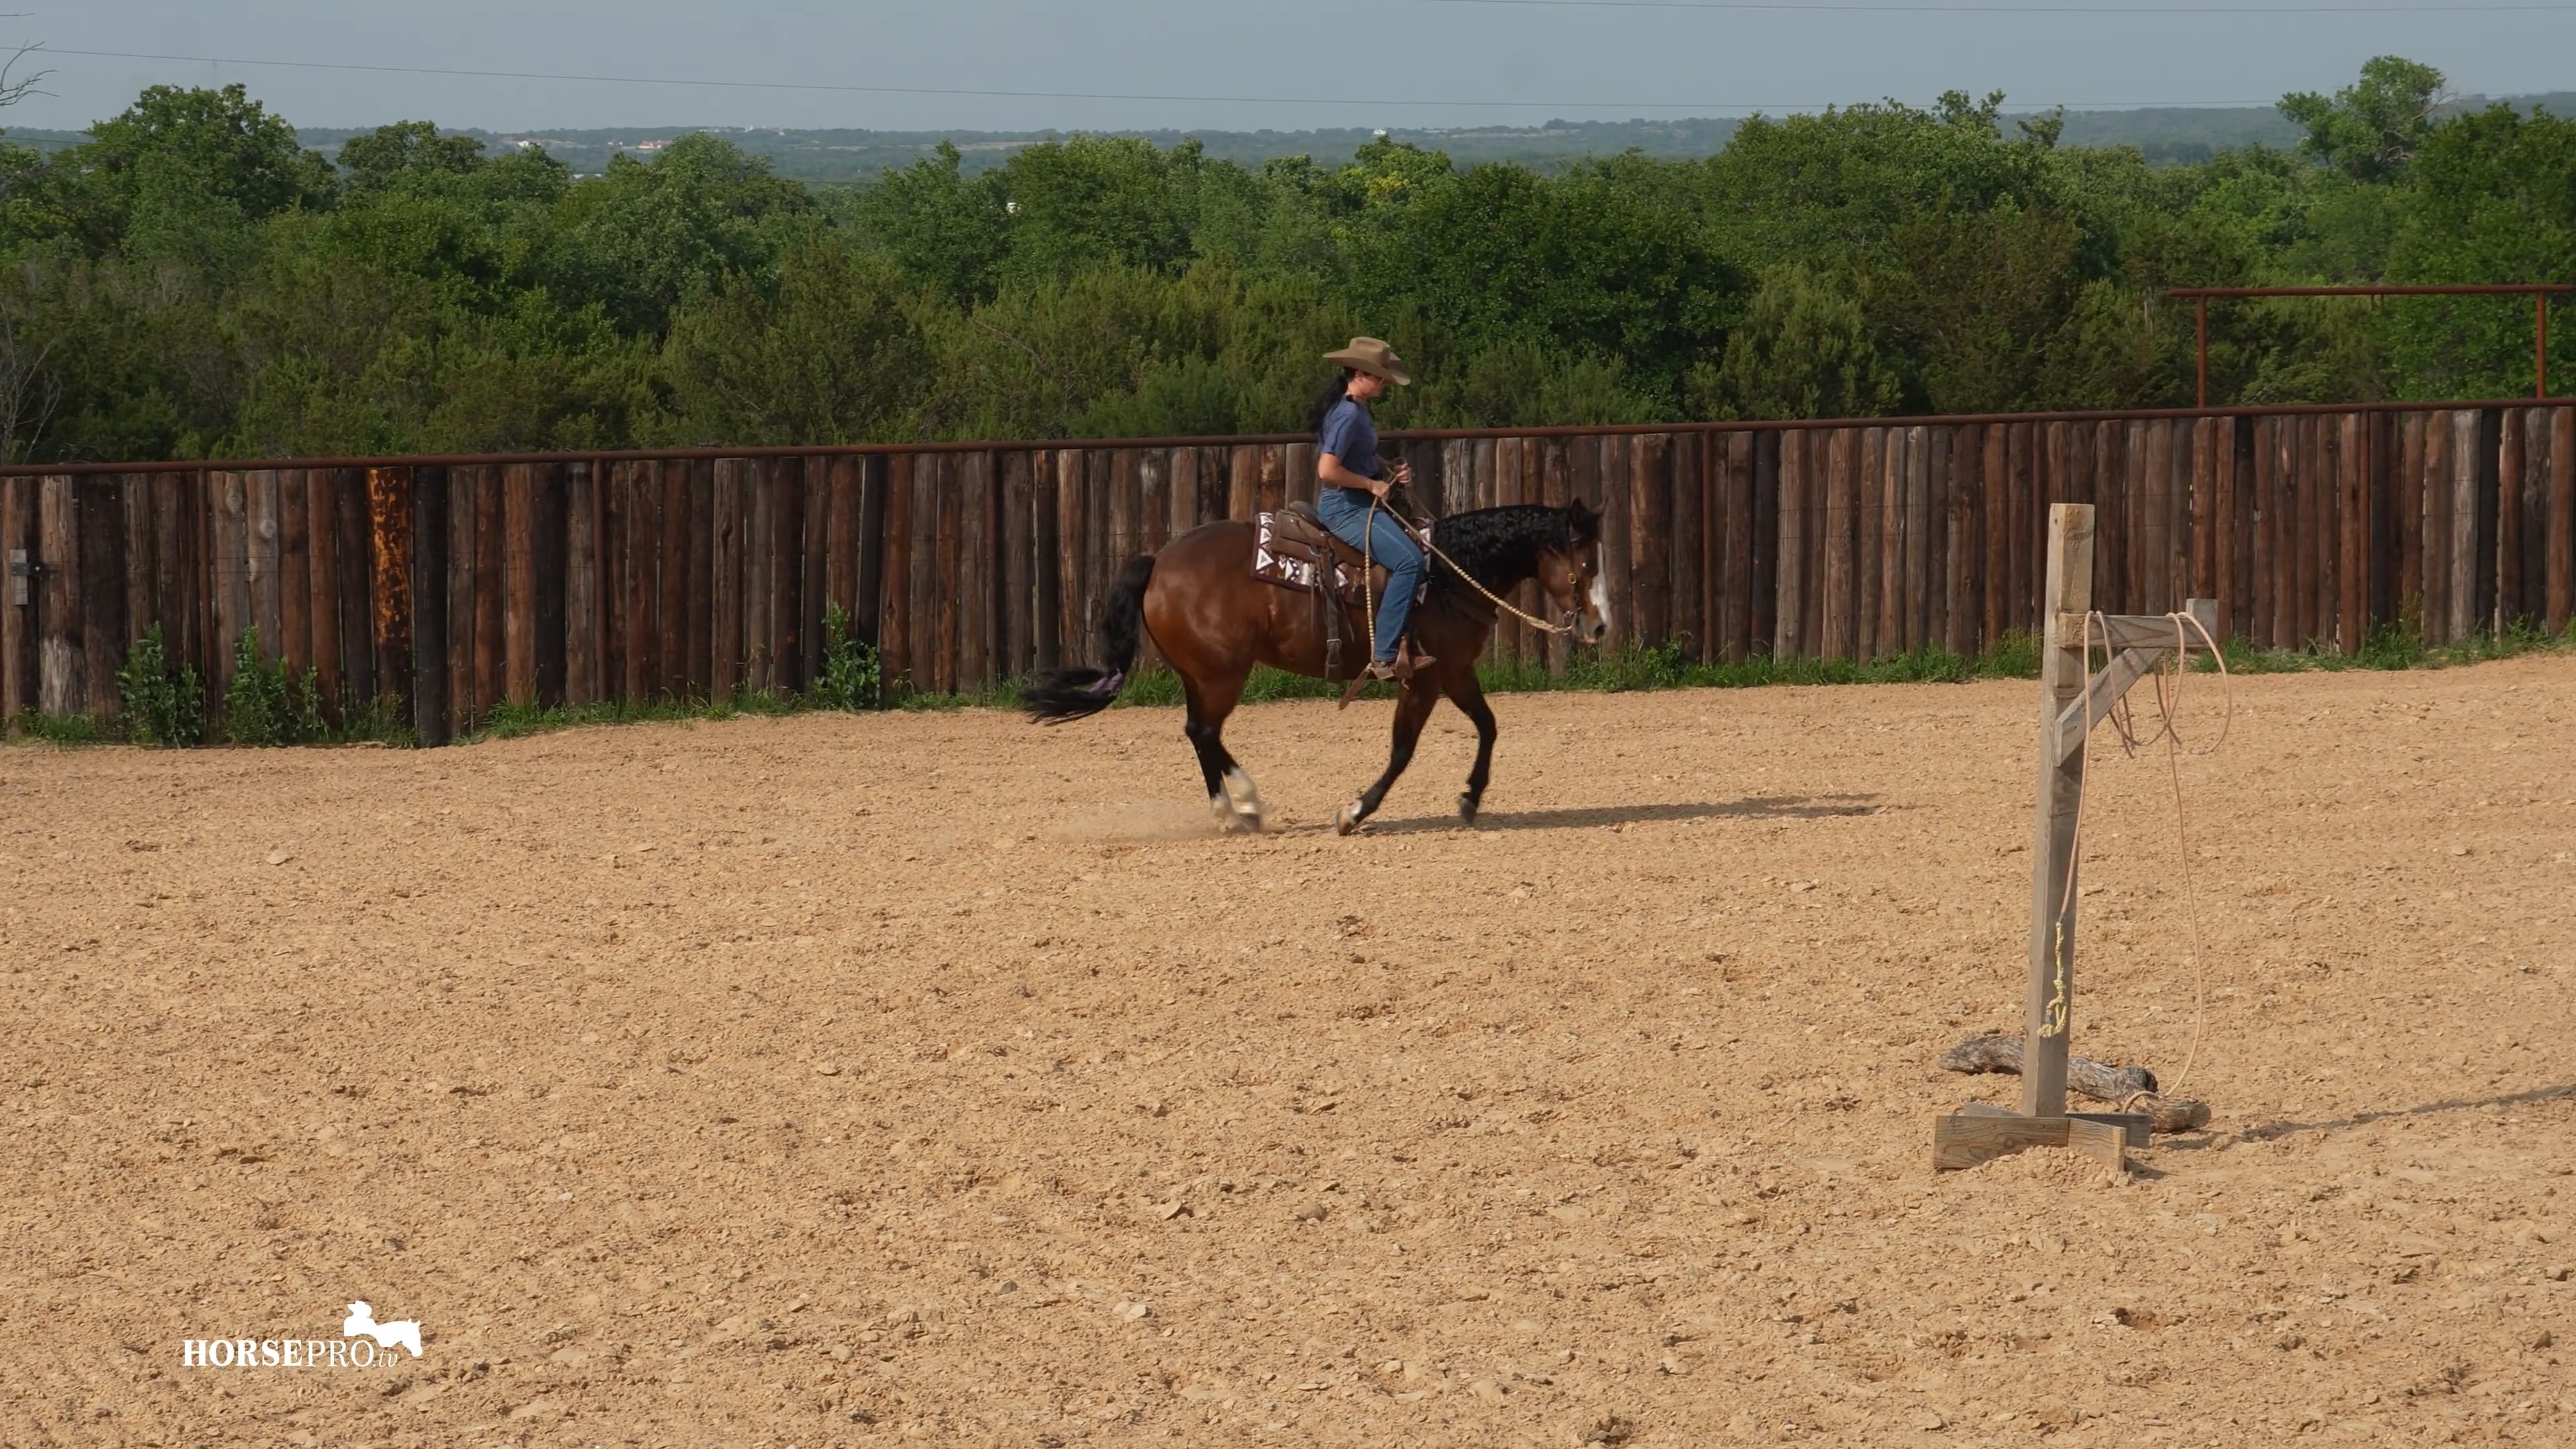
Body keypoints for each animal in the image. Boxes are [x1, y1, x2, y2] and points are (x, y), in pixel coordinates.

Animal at [1022, 498, 1611, 835]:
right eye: (1586, 564)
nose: (1600, 626)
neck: (1448, 574)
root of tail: (1159, 561)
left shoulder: (1454, 673)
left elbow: (1488, 726)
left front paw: (1470, 799)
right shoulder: (1421, 679)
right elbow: (1402, 751)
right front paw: (1354, 813)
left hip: (1202, 675)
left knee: (1199, 732)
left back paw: (1233, 811)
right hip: (1221, 675)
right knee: (1205, 731)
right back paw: (1246, 804)